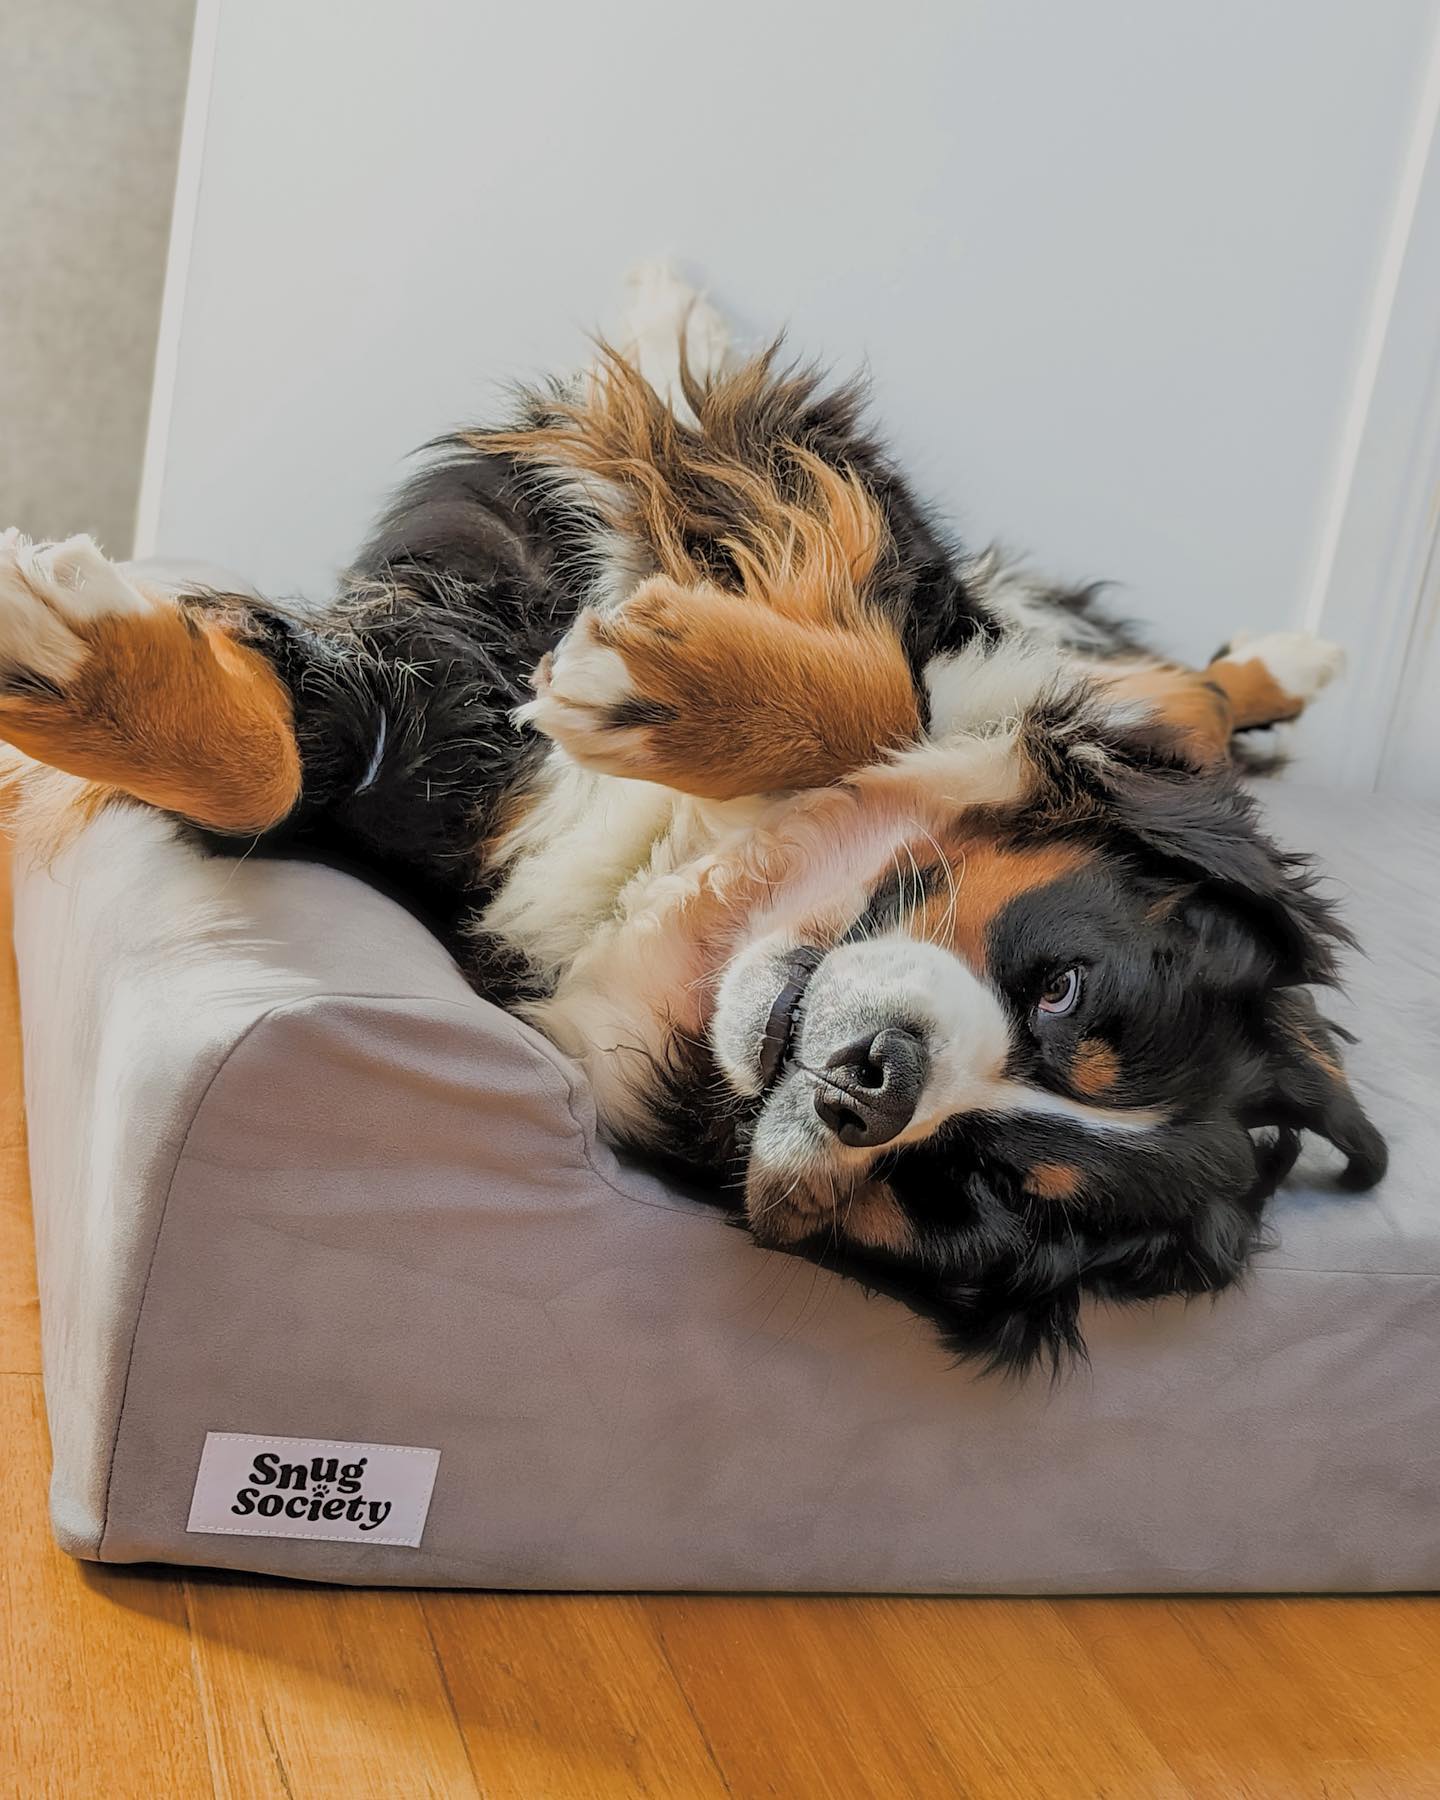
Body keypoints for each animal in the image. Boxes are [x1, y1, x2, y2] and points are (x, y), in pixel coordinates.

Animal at [0, 262, 1382, 1360]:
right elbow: (888, 688)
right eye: (1065, 993)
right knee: (1178, 693)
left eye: (980, 1189)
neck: (711, 877)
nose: (878, 1085)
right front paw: (61, 651)